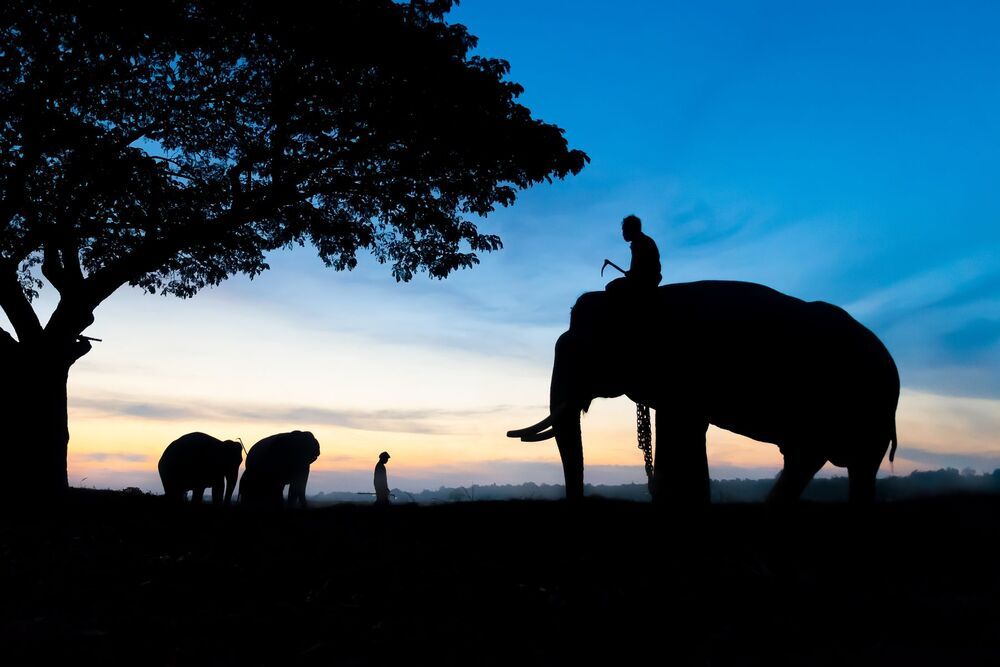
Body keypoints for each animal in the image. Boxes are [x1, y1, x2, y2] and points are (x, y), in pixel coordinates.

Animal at [508, 280, 899, 504]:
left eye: (583, 352)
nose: (583, 502)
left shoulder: (685, 369)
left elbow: (682, 430)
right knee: (809, 460)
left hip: (870, 408)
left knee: (847, 464)